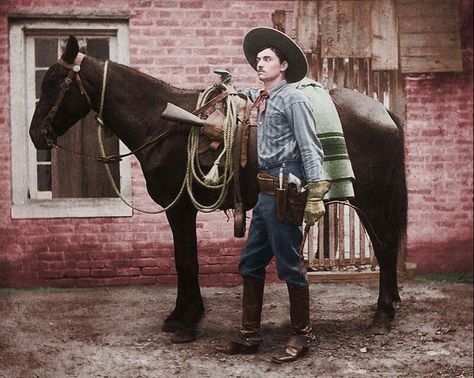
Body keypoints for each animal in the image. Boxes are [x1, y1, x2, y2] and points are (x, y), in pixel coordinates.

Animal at [29, 35, 408, 342]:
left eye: (56, 83)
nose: (35, 134)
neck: (160, 122)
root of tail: (383, 111)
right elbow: (187, 259)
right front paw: (185, 314)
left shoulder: (179, 208)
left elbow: (185, 261)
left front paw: (185, 321)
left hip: (372, 201)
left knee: (386, 246)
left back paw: (383, 312)